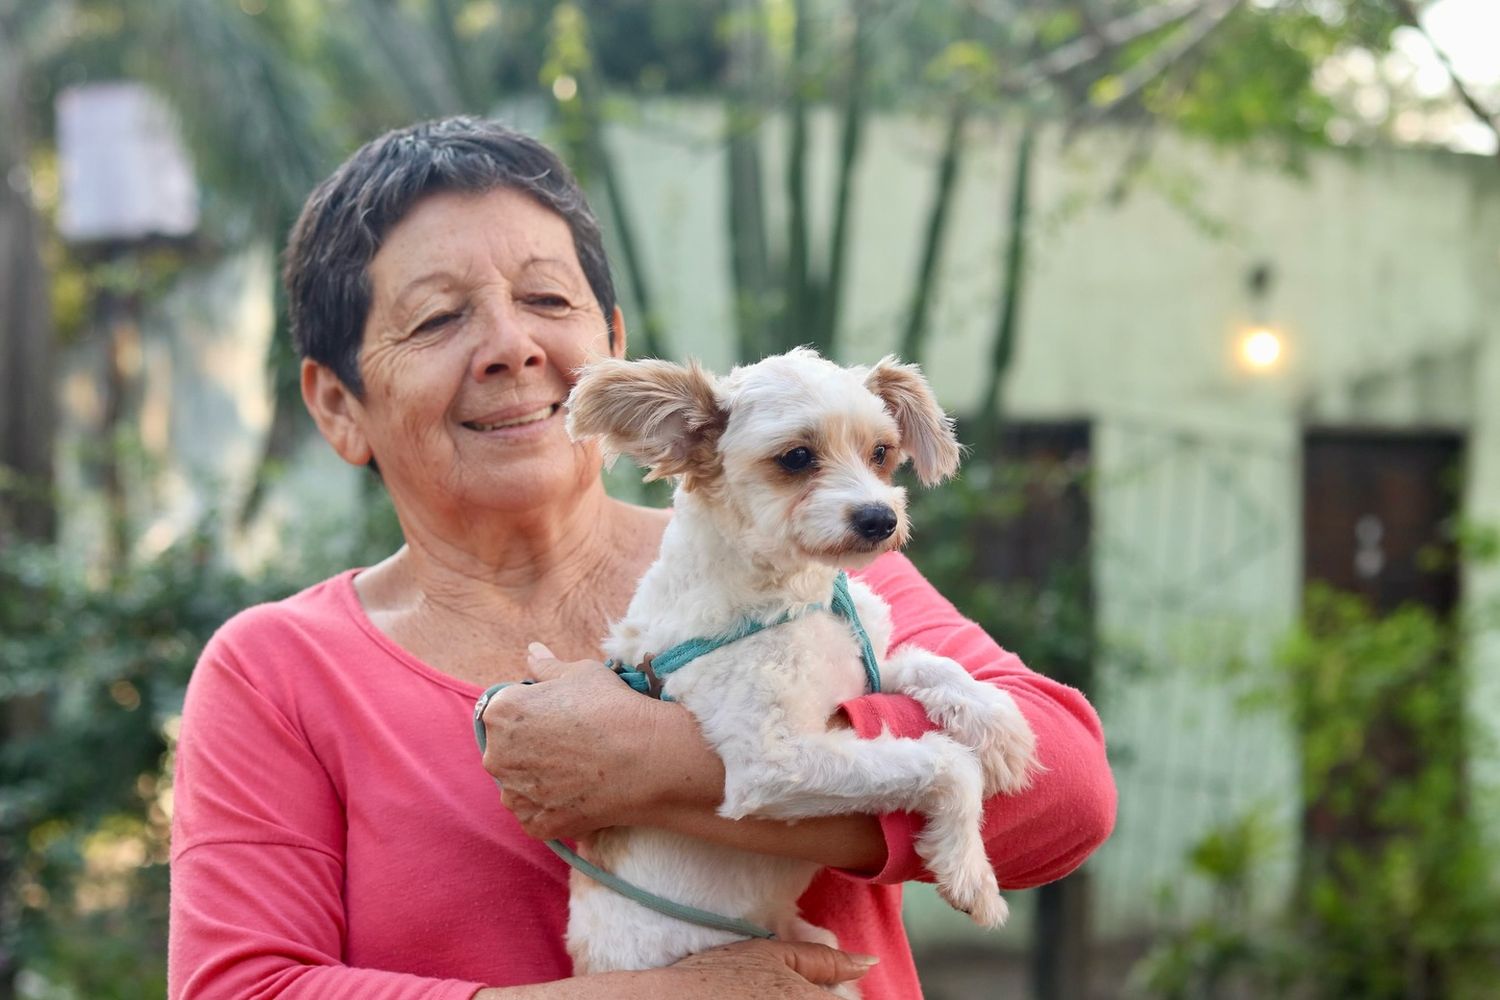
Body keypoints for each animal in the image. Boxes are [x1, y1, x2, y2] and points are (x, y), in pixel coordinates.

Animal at [564, 347, 1044, 989]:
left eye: (881, 452)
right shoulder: (775, 765)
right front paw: (971, 871)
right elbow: (946, 763)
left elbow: (929, 663)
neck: (792, 597)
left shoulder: (858, 665)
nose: (879, 518)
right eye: (796, 457)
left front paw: (997, 726)